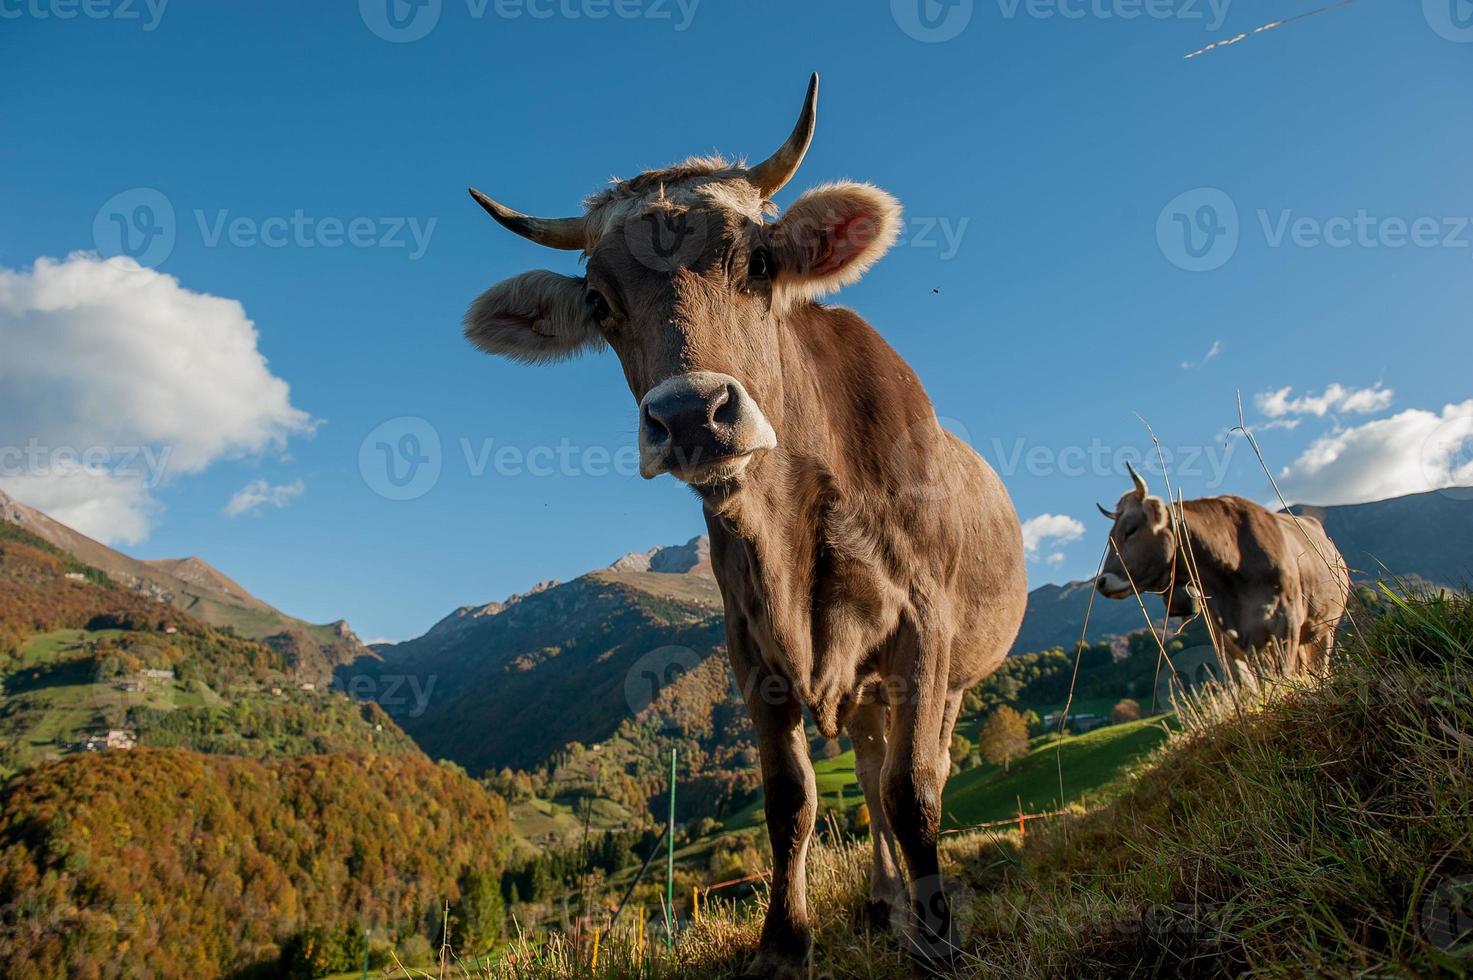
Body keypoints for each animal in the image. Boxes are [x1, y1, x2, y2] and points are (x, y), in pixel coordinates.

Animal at [459, 74, 1025, 972]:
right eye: (599, 301)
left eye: (757, 262)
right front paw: (784, 945)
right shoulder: (750, 648)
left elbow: (915, 790)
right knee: (866, 772)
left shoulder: (923, 626)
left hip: (957, 672)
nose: (692, 415)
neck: (791, 525)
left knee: (911, 768)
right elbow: (791, 799)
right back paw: (881, 901)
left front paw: (939, 937)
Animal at [1095, 465, 1349, 680]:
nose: (1102, 582)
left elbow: (1284, 676)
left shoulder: (1286, 624)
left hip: (1325, 626)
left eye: (1130, 530)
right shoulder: (1225, 638)